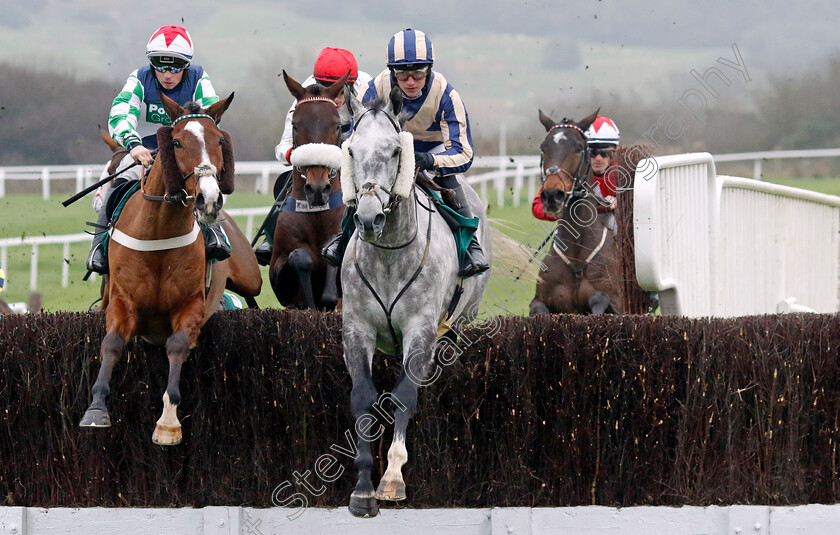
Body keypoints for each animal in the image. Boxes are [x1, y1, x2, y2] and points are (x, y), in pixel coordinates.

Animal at [82, 94, 260, 446]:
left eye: (219, 141)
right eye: (176, 142)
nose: (209, 200)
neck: (159, 232)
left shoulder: (190, 304)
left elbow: (177, 345)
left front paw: (168, 422)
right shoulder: (121, 301)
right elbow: (111, 343)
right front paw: (96, 408)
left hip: (251, 277)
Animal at [270, 71, 348, 310]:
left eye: (337, 125)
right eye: (295, 125)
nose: (317, 189)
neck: (317, 214)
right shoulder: (279, 282)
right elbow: (299, 257)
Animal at [338, 89, 488, 520]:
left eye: (394, 151)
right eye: (351, 149)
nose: (368, 218)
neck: (389, 253)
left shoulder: (421, 329)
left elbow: (405, 395)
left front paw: (391, 479)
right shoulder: (357, 327)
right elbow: (364, 398)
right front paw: (363, 488)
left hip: (461, 320)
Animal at [532, 110, 624, 316]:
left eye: (579, 148)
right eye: (543, 147)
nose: (552, 195)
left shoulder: (617, 303)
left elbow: (600, 299)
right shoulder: (538, 301)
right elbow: (540, 309)